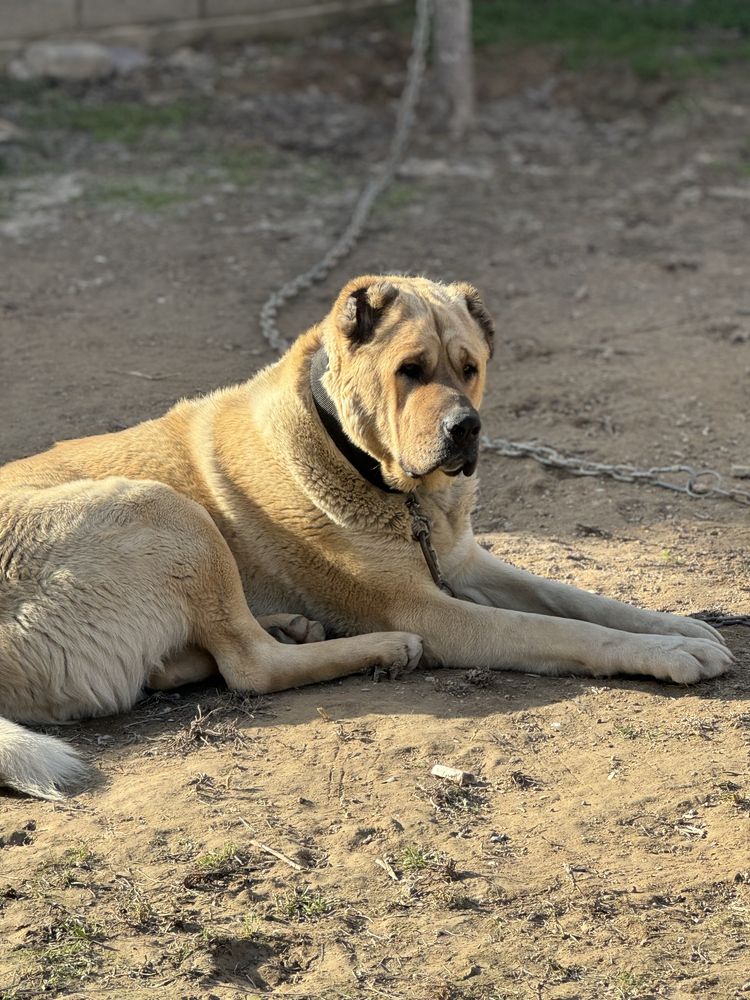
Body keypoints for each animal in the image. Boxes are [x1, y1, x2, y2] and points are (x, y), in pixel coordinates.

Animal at [0, 272, 732, 796]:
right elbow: (565, 631)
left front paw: (679, 627)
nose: (467, 429)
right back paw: (380, 648)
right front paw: (669, 652)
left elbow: (579, 599)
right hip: (164, 509)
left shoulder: (465, 562)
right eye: (410, 369)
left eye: (469, 367)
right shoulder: (435, 611)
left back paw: (286, 629)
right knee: (250, 666)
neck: (369, 468)